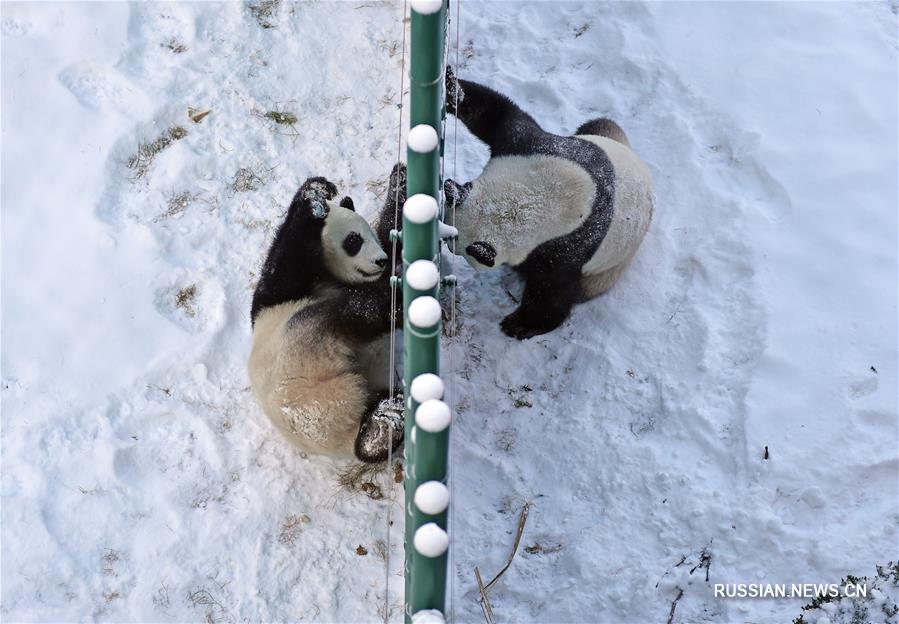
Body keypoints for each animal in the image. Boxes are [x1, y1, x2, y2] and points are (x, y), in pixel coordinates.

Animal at [251, 173, 410, 460]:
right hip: (305, 341)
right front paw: (316, 195)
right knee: (357, 312)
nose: (380, 260)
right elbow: (282, 261)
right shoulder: (281, 296)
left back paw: (382, 424)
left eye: (371, 237)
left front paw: (400, 179)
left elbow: (393, 237)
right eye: (354, 241)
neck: (327, 276)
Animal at [446, 73, 656, 342]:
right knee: (600, 123)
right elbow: (501, 116)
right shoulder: (538, 151)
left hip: (608, 268)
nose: (447, 245)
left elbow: (553, 292)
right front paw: (452, 89)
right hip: (606, 137)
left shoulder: (566, 248)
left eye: (456, 246)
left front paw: (518, 324)